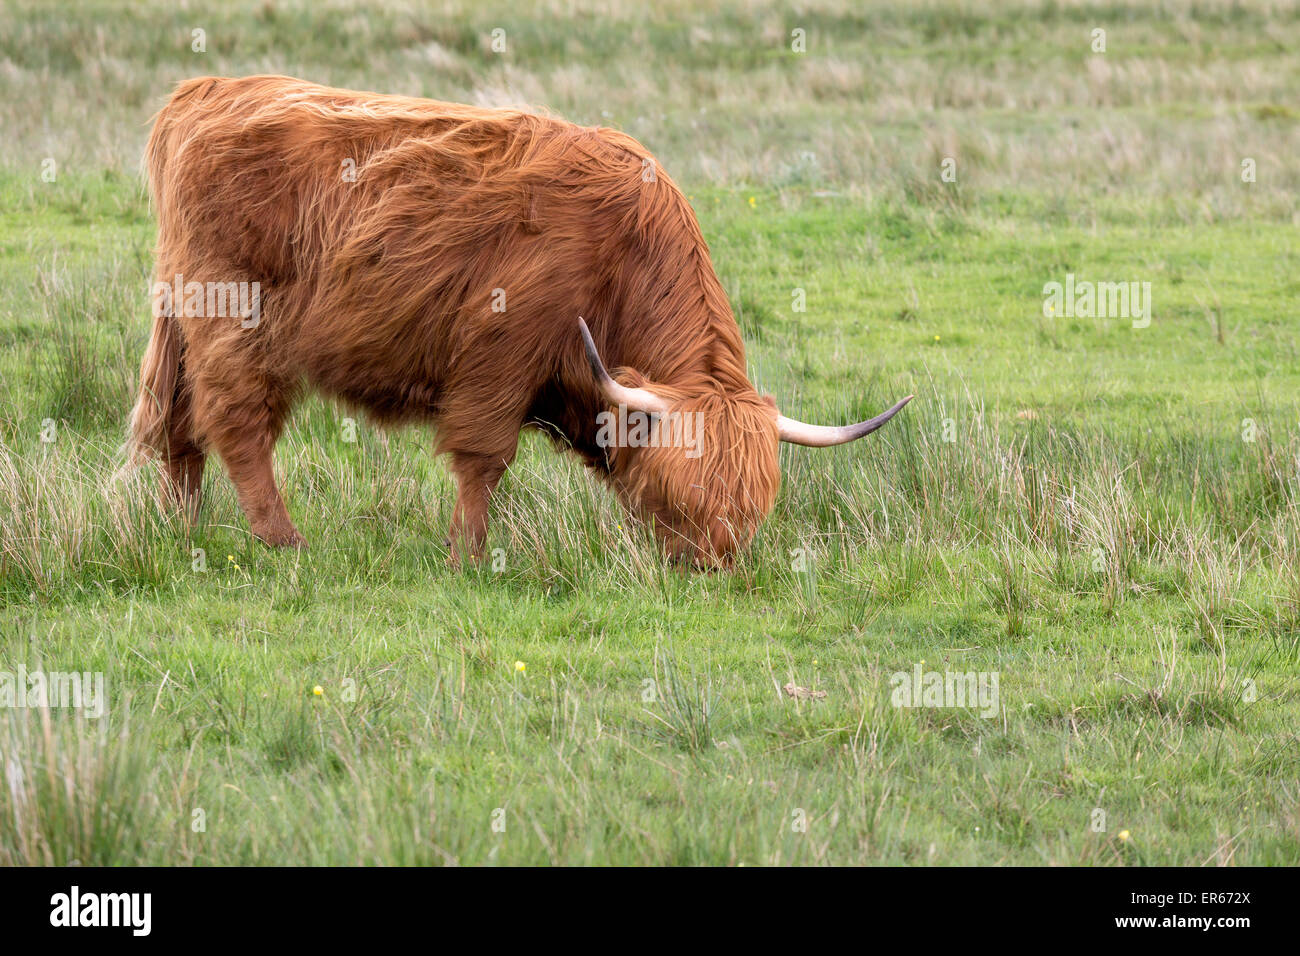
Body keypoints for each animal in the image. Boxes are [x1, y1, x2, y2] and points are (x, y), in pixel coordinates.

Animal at [126, 78, 909, 567]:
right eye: (680, 494)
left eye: (751, 510)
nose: (707, 567)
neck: (620, 252)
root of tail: (207, 91)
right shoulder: (500, 354)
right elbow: (484, 459)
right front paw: (468, 555)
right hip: (234, 325)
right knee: (236, 424)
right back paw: (283, 540)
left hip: (184, 320)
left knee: (178, 426)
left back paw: (181, 527)